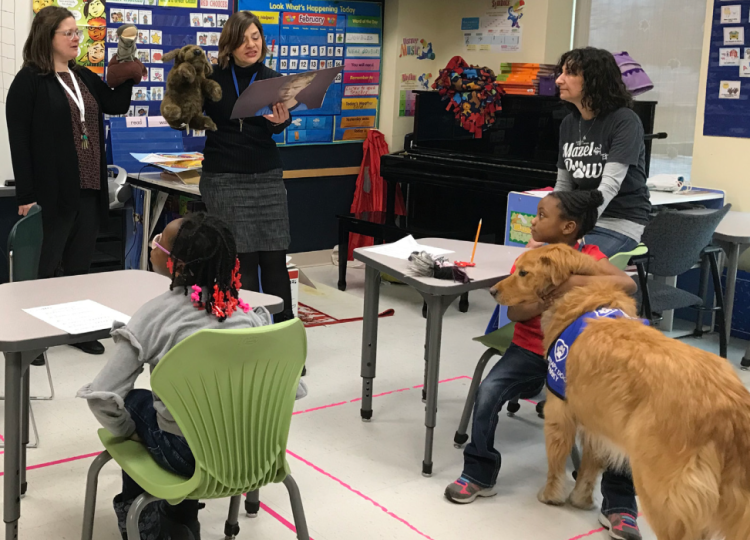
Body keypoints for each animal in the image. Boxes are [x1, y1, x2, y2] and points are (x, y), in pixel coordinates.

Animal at [494, 245, 750, 540]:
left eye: (523, 273)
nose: (492, 290)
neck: (578, 297)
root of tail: (731, 403)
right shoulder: (599, 421)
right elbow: (590, 467)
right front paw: (581, 500)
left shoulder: (559, 409)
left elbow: (556, 461)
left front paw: (551, 495)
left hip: (658, 487)